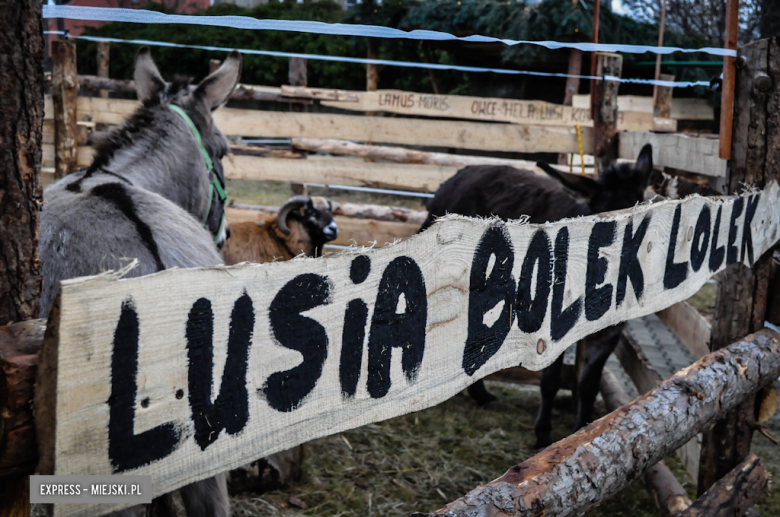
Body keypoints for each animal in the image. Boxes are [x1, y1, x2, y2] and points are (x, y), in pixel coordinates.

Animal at [420, 143, 652, 446]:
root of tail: (456, 177)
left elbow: (588, 386)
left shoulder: (608, 335)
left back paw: (480, 395)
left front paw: (583, 431)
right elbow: (550, 380)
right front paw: (543, 435)